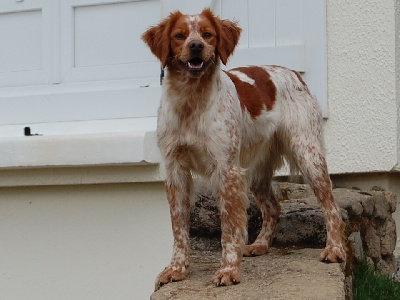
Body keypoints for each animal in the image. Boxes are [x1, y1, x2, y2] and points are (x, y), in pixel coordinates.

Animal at [142, 8, 346, 288]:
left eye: (207, 34)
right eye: (180, 36)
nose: (196, 46)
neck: (191, 101)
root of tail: (294, 74)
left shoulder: (226, 169)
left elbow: (229, 226)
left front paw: (228, 270)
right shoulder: (175, 170)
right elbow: (178, 226)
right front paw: (176, 268)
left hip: (308, 155)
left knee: (332, 206)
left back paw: (334, 249)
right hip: (257, 173)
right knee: (273, 207)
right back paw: (260, 245)